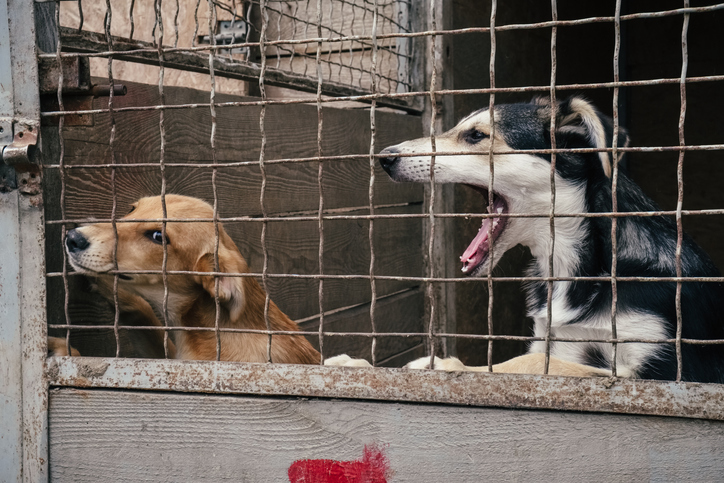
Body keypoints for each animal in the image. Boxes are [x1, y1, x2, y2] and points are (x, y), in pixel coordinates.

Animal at [330, 96, 724, 384]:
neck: (575, 266)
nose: (385, 157)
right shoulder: (558, 338)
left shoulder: (667, 369)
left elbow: (533, 364)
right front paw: (360, 367)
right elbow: (539, 359)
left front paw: (441, 365)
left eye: (476, 136)